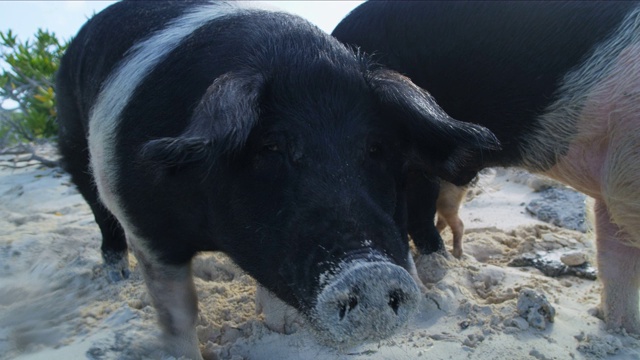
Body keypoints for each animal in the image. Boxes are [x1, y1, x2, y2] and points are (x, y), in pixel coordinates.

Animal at [55, 1, 498, 358]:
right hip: (73, 146)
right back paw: (116, 279)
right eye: (270, 146)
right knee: (101, 217)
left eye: (376, 147)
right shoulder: (148, 230)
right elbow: (178, 314)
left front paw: (279, 326)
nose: (371, 272)